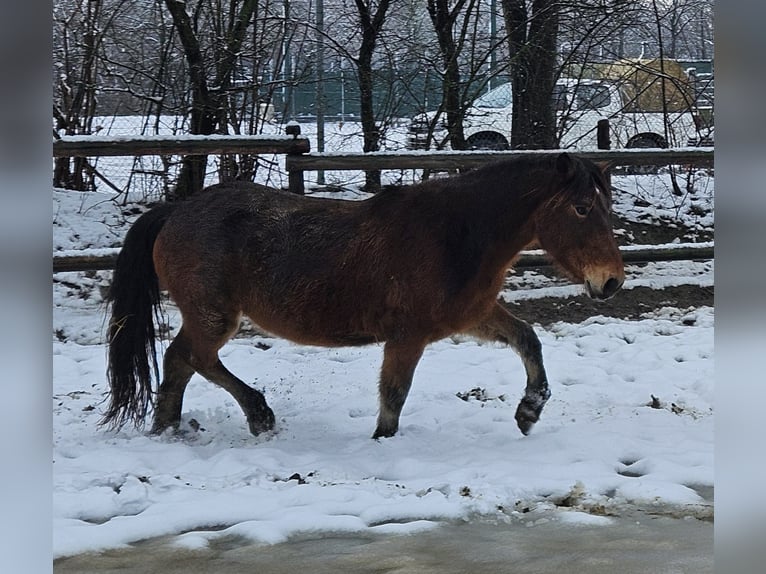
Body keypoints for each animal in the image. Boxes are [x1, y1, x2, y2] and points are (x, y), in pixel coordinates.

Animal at [105, 153, 628, 440]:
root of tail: (174, 212)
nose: (611, 282)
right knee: (193, 358)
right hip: (214, 316)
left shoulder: (472, 315)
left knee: (180, 362)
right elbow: (394, 394)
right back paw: (258, 416)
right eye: (583, 208)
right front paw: (382, 441)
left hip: (207, 316)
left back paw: (170, 429)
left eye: (605, 206)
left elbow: (527, 339)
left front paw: (529, 411)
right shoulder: (408, 336)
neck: (455, 234)